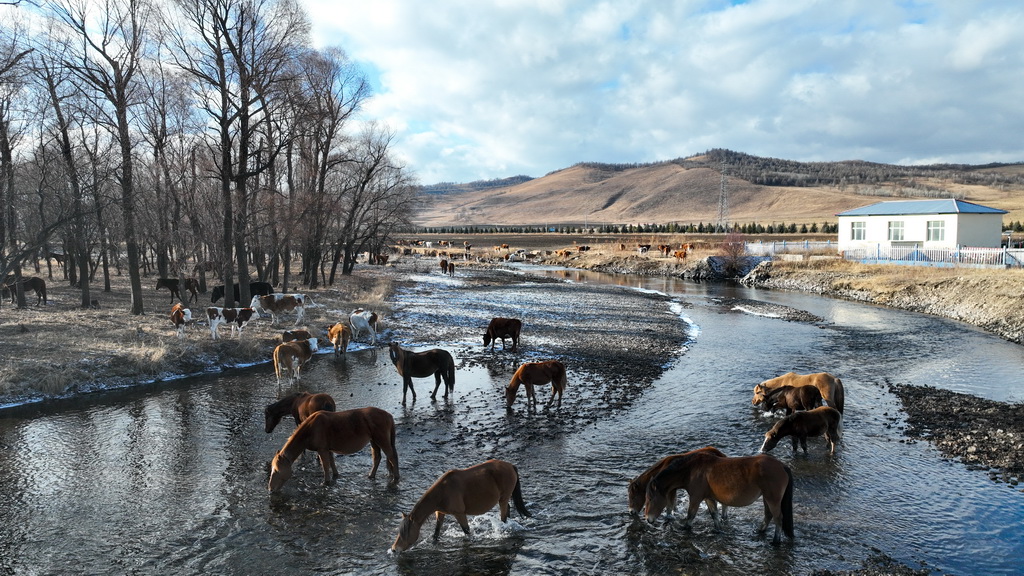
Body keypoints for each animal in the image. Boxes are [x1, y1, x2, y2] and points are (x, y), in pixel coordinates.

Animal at [268, 405, 399, 491]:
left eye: (276, 471)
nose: (270, 489)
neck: (311, 429)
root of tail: (388, 415)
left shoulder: (322, 450)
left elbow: (325, 466)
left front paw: (326, 482)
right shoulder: (328, 449)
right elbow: (332, 462)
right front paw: (335, 475)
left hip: (381, 440)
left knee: (392, 457)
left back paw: (395, 479)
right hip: (373, 441)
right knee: (377, 458)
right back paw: (371, 476)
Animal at [389, 457, 532, 553]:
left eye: (405, 532)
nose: (394, 549)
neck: (442, 492)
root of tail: (510, 466)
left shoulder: (459, 513)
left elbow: (467, 532)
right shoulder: (440, 513)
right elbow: (436, 533)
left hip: (503, 498)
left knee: (503, 517)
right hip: (503, 499)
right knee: (507, 510)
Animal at [643, 448, 794, 541]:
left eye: (650, 498)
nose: (647, 519)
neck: (691, 470)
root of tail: (782, 466)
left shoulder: (696, 498)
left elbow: (690, 515)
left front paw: (685, 529)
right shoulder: (708, 498)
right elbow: (714, 514)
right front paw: (718, 530)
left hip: (772, 499)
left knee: (778, 518)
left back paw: (776, 541)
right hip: (766, 497)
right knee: (768, 515)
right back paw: (760, 531)